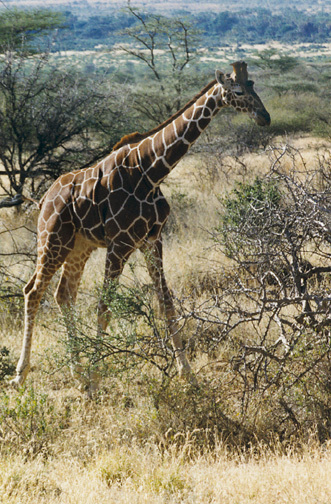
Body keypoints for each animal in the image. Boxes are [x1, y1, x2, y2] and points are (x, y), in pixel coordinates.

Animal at [10, 60, 272, 390]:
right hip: (52, 239)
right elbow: (104, 307)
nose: (265, 117)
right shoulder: (120, 242)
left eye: (253, 85)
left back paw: (76, 373)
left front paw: (188, 374)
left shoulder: (151, 240)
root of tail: (45, 198)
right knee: (33, 291)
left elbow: (166, 303)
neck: (151, 170)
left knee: (63, 295)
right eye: (237, 90)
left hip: (79, 247)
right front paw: (97, 378)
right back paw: (21, 374)